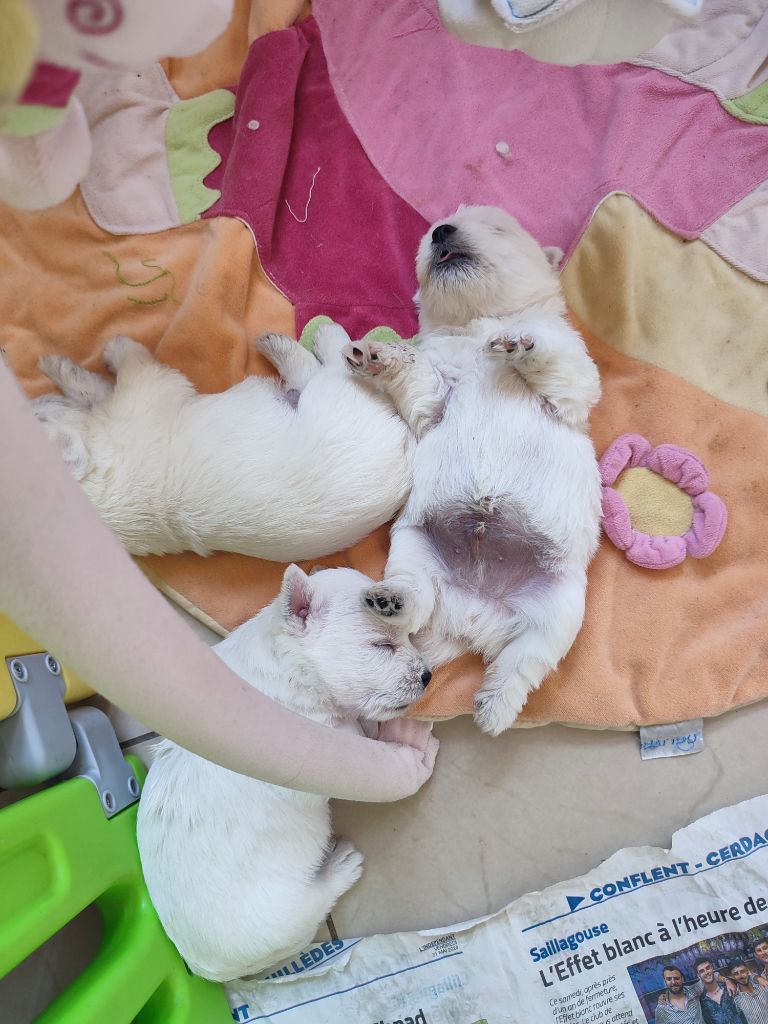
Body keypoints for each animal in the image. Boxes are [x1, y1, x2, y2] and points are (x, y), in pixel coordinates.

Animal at [31, 325, 415, 561]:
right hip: (334, 397)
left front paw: (59, 365)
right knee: (326, 367)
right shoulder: (146, 393)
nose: (32, 402)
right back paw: (311, 339)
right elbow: (124, 372)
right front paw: (107, 353)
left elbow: (98, 385)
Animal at [137, 565, 434, 978]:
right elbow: (367, 739)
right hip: (286, 916)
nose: (428, 676)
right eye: (381, 646)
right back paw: (342, 865)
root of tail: (203, 968)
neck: (287, 668)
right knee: (318, 900)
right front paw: (402, 736)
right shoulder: (337, 740)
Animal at [346, 207, 606, 737]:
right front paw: (381, 354)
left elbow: (558, 361)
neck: (474, 327)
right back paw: (390, 601)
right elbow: (420, 382)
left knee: (523, 661)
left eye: (498, 227)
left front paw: (520, 341)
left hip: (560, 608)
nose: (441, 230)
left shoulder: (574, 377)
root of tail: (472, 622)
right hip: (414, 549)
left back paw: (494, 707)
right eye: (427, 236)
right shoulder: (435, 394)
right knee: (415, 601)